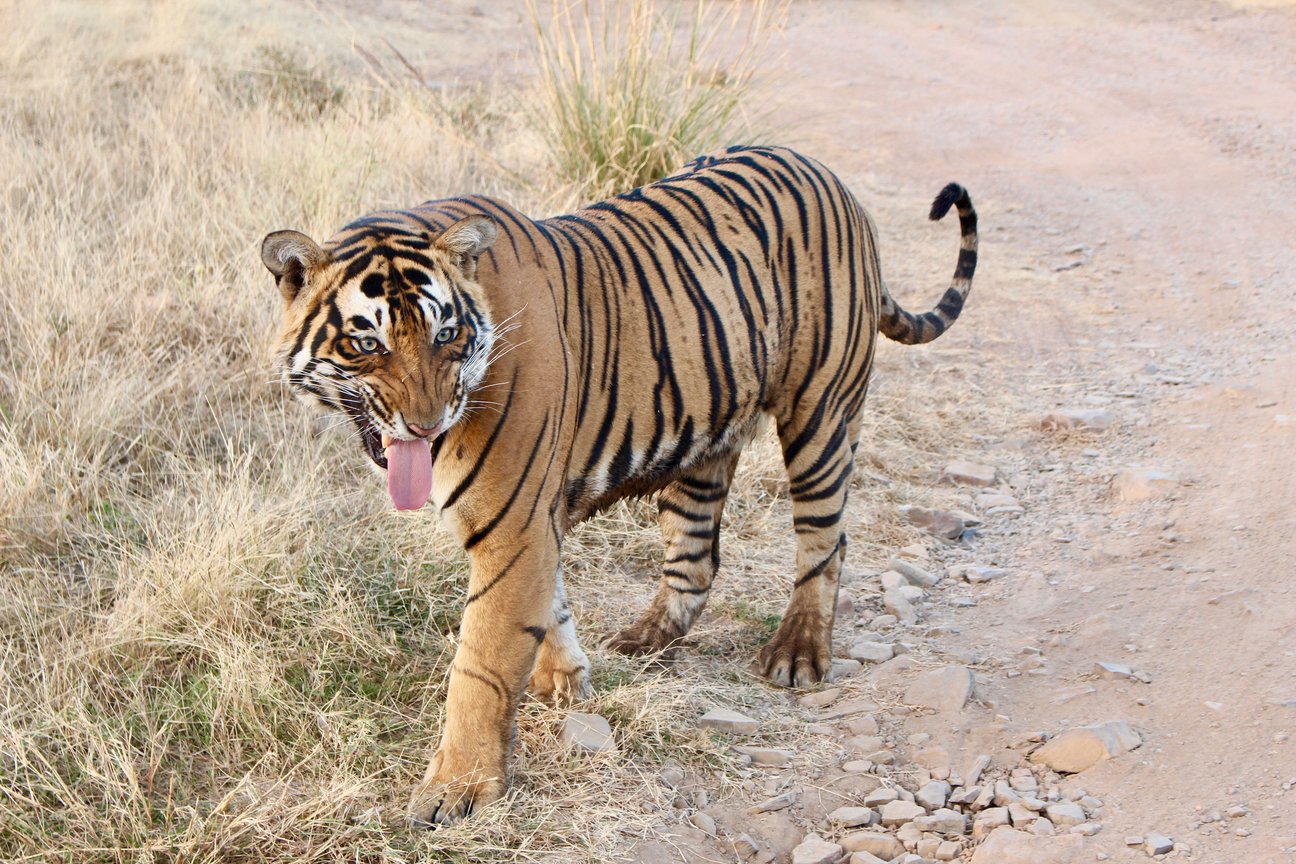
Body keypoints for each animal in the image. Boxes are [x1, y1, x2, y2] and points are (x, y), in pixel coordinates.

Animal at [260, 145, 974, 829]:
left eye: (447, 335)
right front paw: (565, 680)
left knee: (825, 539)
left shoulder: (513, 524)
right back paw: (644, 638)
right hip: (704, 438)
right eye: (366, 344)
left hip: (821, 412)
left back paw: (797, 653)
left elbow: (480, 663)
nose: (427, 423)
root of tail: (832, 177)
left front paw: (456, 790)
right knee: (696, 558)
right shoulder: (532, 519)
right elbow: (549, 605)